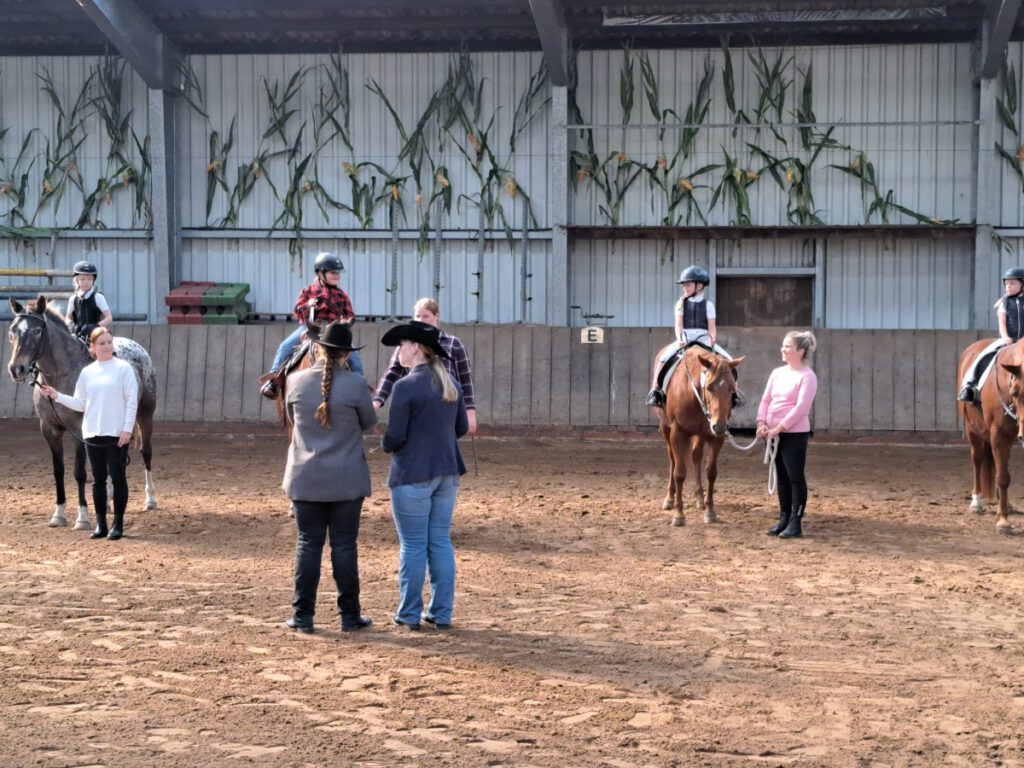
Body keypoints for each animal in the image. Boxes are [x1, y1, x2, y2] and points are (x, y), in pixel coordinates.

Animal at [6, 296, 157, 528]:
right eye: (12, 331)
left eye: (37, 331)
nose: (16, 369)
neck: (62, 376)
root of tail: (139, 349)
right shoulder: (50, 430)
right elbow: (58, 471)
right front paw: (58, 514)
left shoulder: (79, 430)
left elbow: (79, 473)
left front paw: (82, 517)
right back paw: (111, 500)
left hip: (145, 414)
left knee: (146, 452)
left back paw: (150, 500)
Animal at [655, 346, 745, 528]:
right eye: (709, 387)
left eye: (732, 388)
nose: (720, 426)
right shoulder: (677, 433)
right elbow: (679, 472)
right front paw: (679, 514)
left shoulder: (715, 436)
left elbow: (711, 472)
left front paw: (710, 512)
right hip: (666, 428)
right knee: (672, 459)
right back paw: (669, 498)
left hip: (701, 433)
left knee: (696, 456)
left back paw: (699, 498)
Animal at [954, 335, 1024, 536]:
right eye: (1015, 392)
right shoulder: (999, 435)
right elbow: (1002, 478)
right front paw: (1002, 521)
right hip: (973, 430)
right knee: (978, 460)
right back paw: (977, 502)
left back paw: (1006, 503)